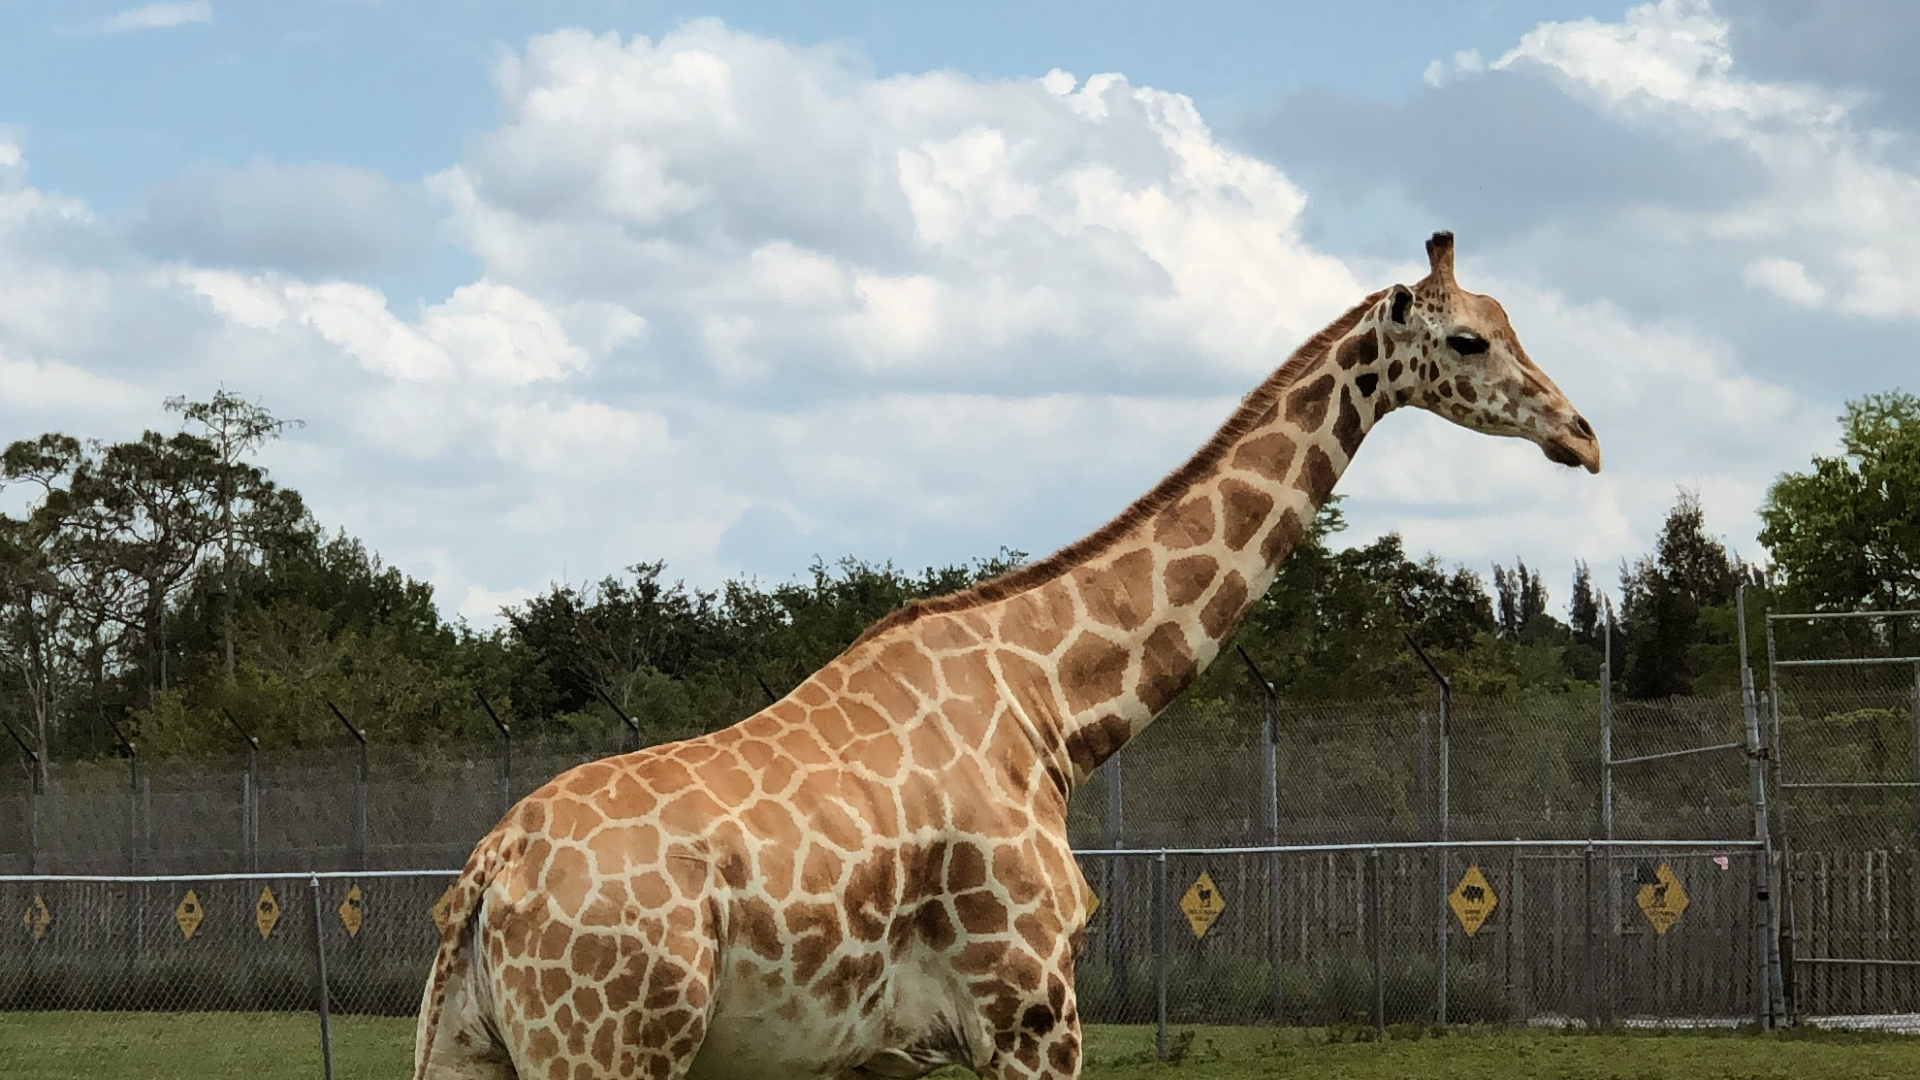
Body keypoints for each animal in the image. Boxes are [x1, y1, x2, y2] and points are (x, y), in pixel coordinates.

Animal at [414, 231, 1601, 1080]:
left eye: (1511, 323)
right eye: (1469, 341)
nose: (1583, 436)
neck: (1055, 709)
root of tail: (490, 873)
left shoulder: (884, 1056)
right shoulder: (1032, 1010)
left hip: (475, 1051)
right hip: (609, 1048)